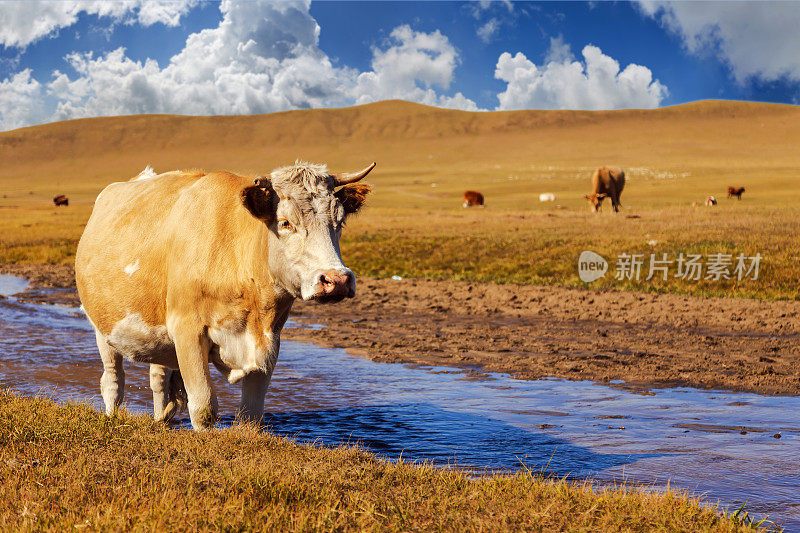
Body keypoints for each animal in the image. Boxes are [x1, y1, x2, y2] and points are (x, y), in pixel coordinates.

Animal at [75, 160, 376, 430]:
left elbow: (251, 414)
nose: (336, 280)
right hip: (101, 327)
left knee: (159, 380)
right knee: (113, 380)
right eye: (285, 223)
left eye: (340, 222)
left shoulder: (270, 341)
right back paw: (112, 415)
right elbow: (203, 405)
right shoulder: (187, 330)